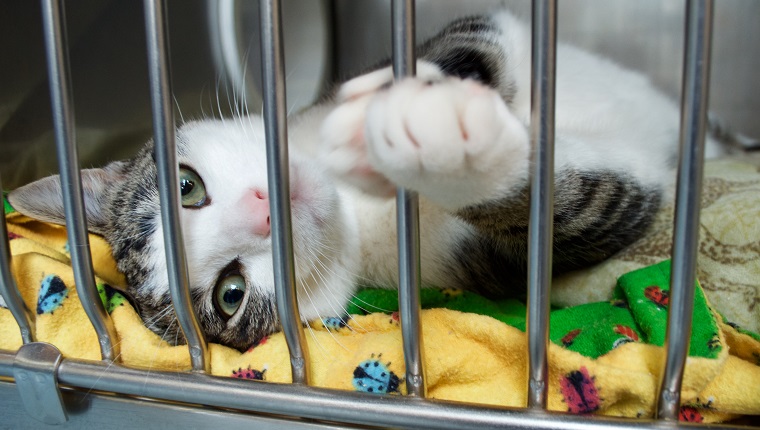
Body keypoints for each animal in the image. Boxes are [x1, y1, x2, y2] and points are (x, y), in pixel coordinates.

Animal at [7, 11, 724, 352]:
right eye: (230, 295)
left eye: (187, 186)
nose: (264, 209)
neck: (359, 208)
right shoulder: (481, 264)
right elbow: (578, 211)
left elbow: (462, 46)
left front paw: (399, 111)